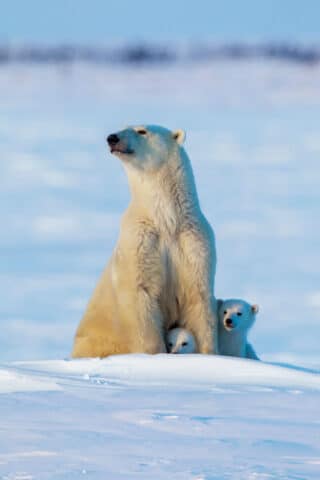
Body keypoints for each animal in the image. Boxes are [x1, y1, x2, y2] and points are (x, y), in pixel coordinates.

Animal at [71, 124, 219, 356]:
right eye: (122, 127)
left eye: (142, 131)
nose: (112, 138)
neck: (166, 221)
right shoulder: (140, 241)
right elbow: (141, 294)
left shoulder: (194, 242)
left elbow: (198, 297)